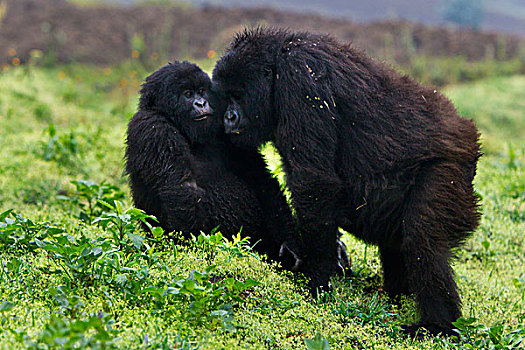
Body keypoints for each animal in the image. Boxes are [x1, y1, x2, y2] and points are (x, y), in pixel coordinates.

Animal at [125, 59, 350, 268]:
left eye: (201, 91)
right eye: (188, 94)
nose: (201, 103)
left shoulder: (225, 125)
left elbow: (261, 179)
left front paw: (290, 245)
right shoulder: (152, 128)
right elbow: (182, 191)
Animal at [212, 28, 478, 336]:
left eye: (237, 95)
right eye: (224, 97)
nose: (228, 117)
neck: (278, 59)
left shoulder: (301, 79)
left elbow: (314, 183)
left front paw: (316, 279)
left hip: (451, 167)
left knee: (424, 238)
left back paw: (438, 324)